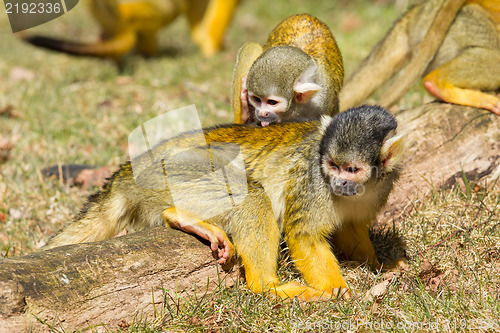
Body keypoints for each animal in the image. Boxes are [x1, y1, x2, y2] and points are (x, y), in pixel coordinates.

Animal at [44, 105, 406, 300]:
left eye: (352, 169)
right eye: (331, 165)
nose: (339, 182)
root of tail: (130, 170)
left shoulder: (380, 187)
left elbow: (352, 228)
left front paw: (379, 265)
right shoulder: (313, 181)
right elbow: (303, 235)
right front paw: (339, 291)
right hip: (170, 176)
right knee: (253, 195)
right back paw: (266, 286)